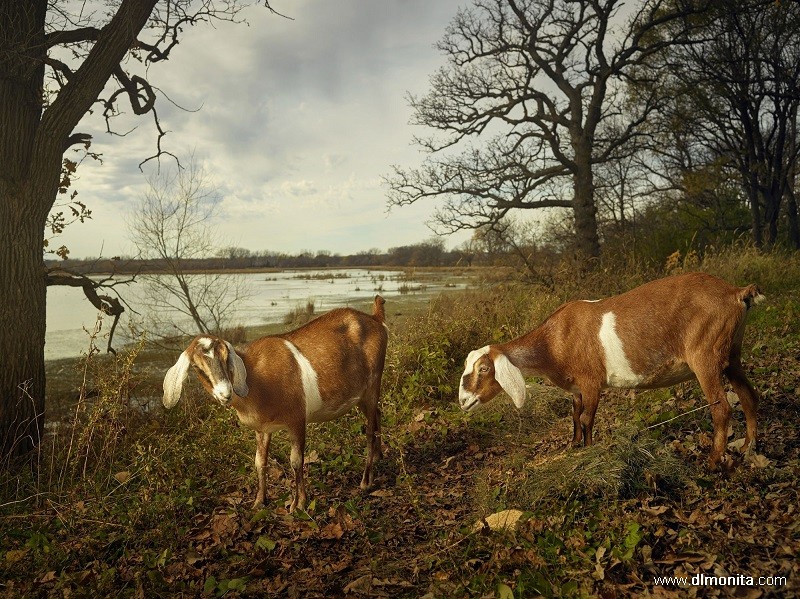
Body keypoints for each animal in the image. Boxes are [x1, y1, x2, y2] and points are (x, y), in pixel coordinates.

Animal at [162, 296, 388, 510]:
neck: (256, 380)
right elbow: (259, 462)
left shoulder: (297, 419)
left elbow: (296, 461)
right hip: (360, 395)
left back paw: (366, 481)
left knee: (369, 431)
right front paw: (259, 501)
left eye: (226, 358)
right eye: (197, 368)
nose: (225, 393)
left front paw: (299, 503)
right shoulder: (262, 428)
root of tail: (376, 318)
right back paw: (378, 457)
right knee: (377, 414)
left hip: (373, 383)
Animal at [460, 274, 760, 472]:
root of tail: (737, 292)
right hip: (731, 354)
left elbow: (585, 419)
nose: (463, 401)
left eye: (484, 368)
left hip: (705, 355)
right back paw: (748, 448)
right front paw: (574, 446)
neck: (554, 341)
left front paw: (589, 452)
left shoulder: (591, 381)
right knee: (748, 396)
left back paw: (712, 462)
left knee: (721, 408)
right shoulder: (577, 388)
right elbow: (574, 416)